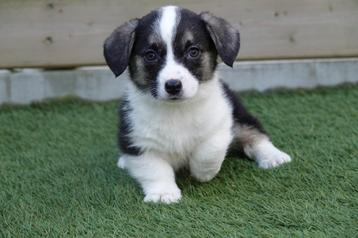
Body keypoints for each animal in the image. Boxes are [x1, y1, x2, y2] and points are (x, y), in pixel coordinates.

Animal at [103, 5, 290, 203]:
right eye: (150, 55)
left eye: (193, 51)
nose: (173, 86)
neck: (176, 110)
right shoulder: (137, 141)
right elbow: (154, 169)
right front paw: (163, 194)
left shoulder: (221, 122)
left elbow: (208, 150)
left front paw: (203, 173)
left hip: (240, 115)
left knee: (254, 134)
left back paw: (274, 157)